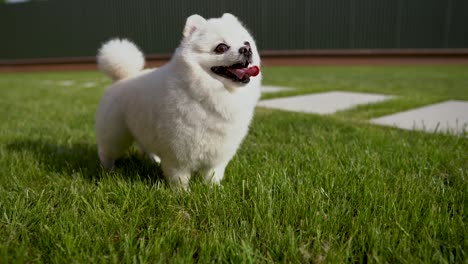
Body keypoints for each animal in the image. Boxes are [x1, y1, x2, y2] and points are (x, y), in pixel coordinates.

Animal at [95, 13, 264, 190]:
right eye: (221, 47)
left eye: (247, 43)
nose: (246, 49)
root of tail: (123, 77)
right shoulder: (178, 153)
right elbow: (179, 177)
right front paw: (182, 192)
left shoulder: (218, 151)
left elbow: (213, 174)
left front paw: (215, 189)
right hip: (115, 135)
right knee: (106, 152)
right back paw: (108, 171)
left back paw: (154, 160)